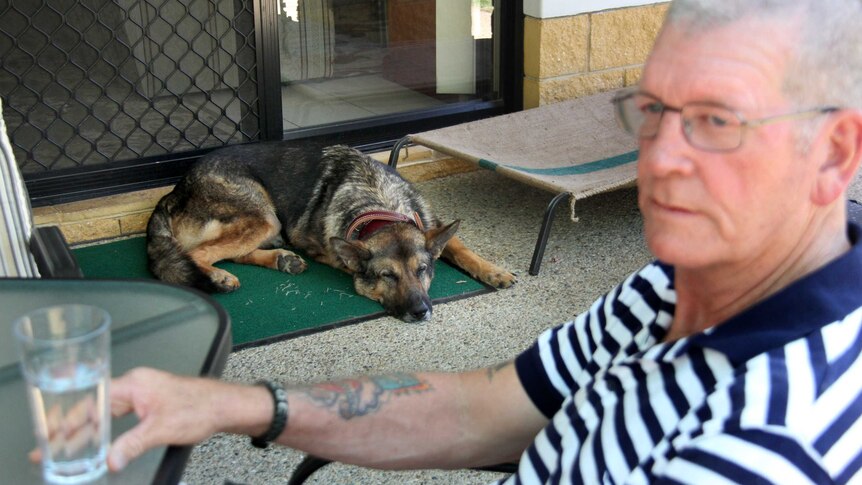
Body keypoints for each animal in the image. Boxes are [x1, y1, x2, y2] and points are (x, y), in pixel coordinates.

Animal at [145, 141, 516, 322]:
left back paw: (282, 259)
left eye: (422, 270)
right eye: (387, 276)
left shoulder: (430, 223)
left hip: (266, 223)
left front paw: (493, 271)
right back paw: (219, 277)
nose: (420, 312)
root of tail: (175, 189)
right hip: (264, 216)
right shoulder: (330, 250)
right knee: (197, 253)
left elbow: (461, 247)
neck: (378, 206)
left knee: (234, 251)